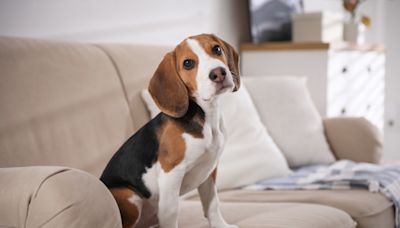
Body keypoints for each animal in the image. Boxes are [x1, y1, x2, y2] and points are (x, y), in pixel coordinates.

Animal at [101, 33, 241, 228]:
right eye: (188, 63)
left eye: (216, 49)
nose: (218, 73)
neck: (207, 117)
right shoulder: (171, 172)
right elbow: (171, 212)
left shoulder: (209, 171)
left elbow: (212, 203)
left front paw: (220, 225)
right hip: (130, 198)